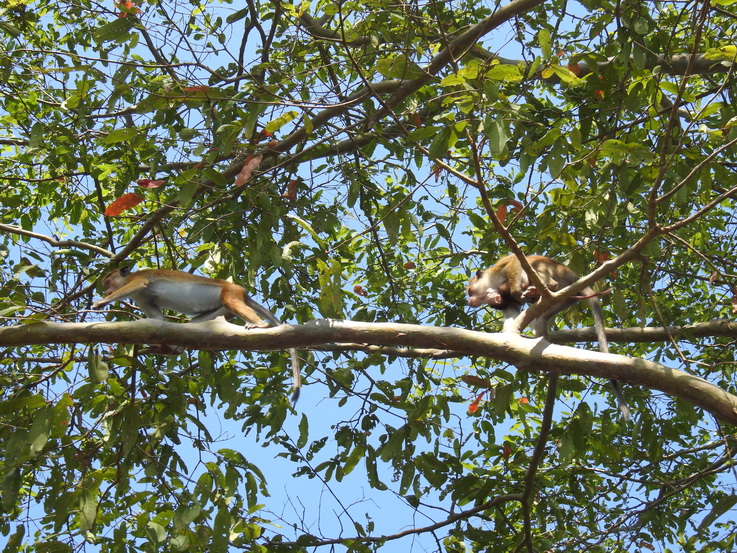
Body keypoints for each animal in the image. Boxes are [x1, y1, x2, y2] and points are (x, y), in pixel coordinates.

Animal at [94, 268, 302, 402]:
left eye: (108, 282)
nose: (107, 290)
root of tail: (242, 291)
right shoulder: (141, 297)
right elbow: (158, 318)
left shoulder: (138, 279)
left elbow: (140, 284)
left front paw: (101, 302)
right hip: (222, 309)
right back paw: (172, 348)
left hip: (230, 291)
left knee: (229, 300)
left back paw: (261, 324)